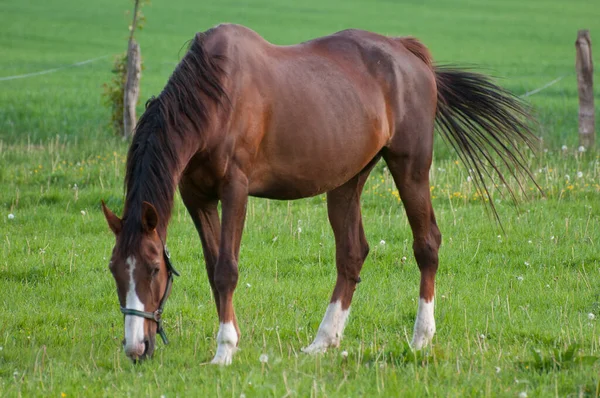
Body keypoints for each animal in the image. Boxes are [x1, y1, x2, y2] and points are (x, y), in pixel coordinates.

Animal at [101, 22, 536, 364]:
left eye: (154, 269)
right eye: (114, 269)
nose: (135, 348)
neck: (214, 97)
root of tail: (408, 53)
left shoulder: (235, 190)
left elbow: (227, 270)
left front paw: (225, 350)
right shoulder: (197, 196)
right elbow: (212, 269)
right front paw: (230, 339)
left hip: (410, 167)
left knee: (426, 244)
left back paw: (419, 338)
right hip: (347, 180)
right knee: (352, 254)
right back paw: (323, 341)